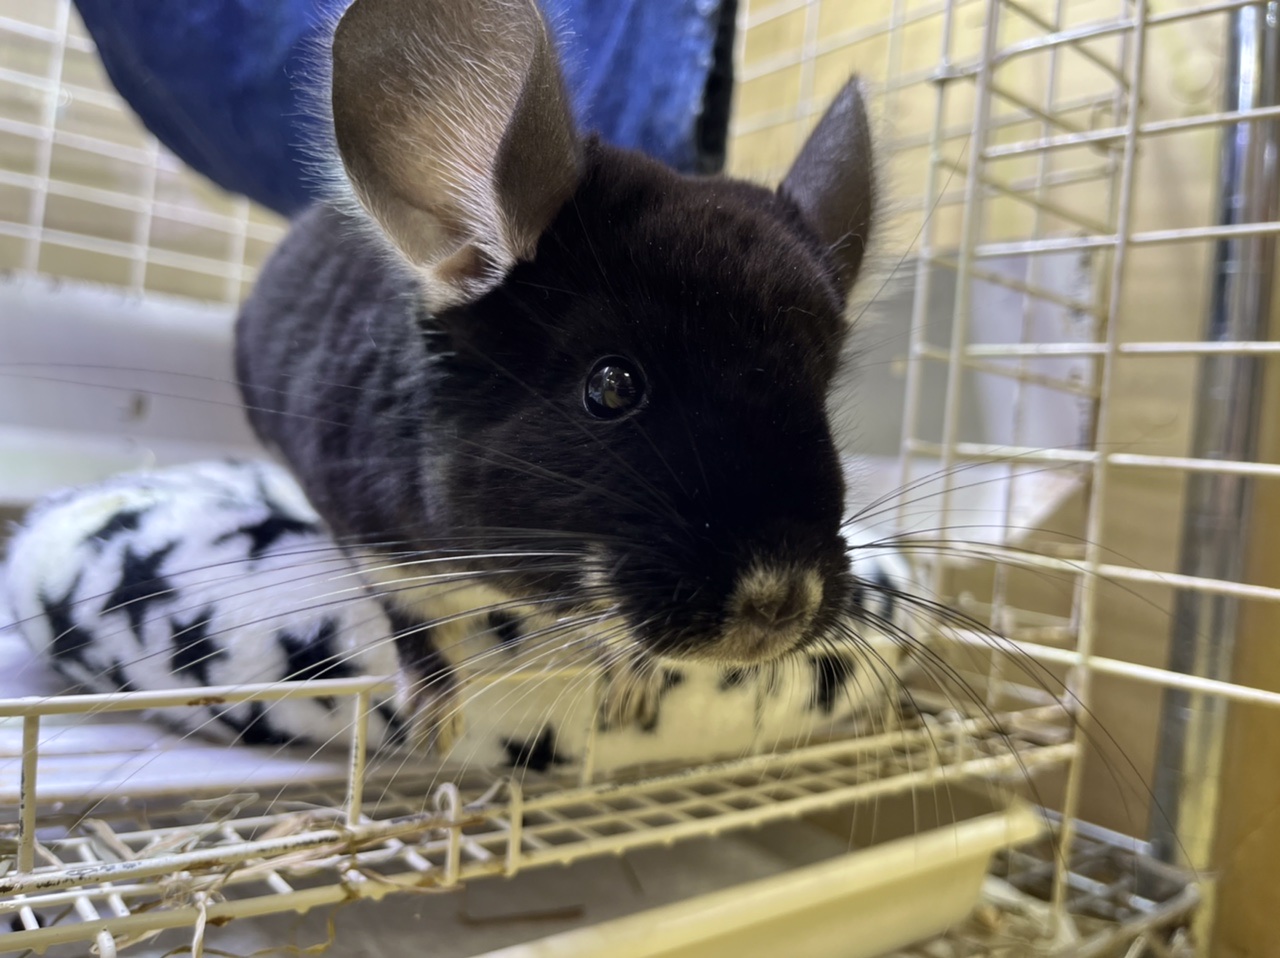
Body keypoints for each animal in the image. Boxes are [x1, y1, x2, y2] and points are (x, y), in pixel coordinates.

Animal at [232, 0, 910, 758]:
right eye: (612, 386)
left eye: (819, 392)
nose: (781, 603)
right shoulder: (377, 543)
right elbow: (413, 618)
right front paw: (435, 728)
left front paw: (631, 698)